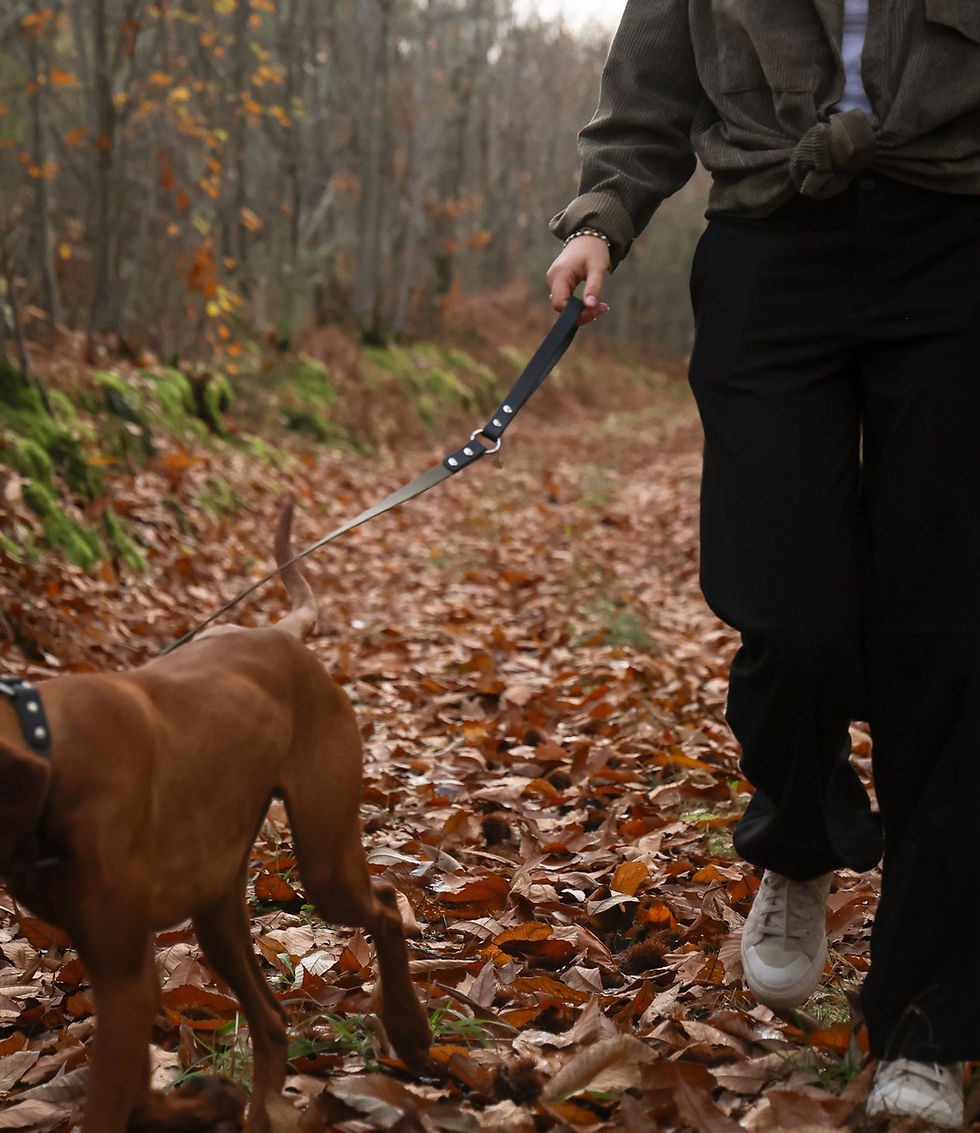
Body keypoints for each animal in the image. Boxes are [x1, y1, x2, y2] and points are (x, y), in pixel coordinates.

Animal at [0, 501, 432, 1132]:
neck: (48, 744)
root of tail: (278, 633)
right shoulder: (120, 970)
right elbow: (136, 1098)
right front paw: (206, 1100)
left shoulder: (124, 976)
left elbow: (115, 1104)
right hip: (216, 902)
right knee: (272, 1021)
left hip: (323, 856)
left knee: (383, 902)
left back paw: (409, 1029)